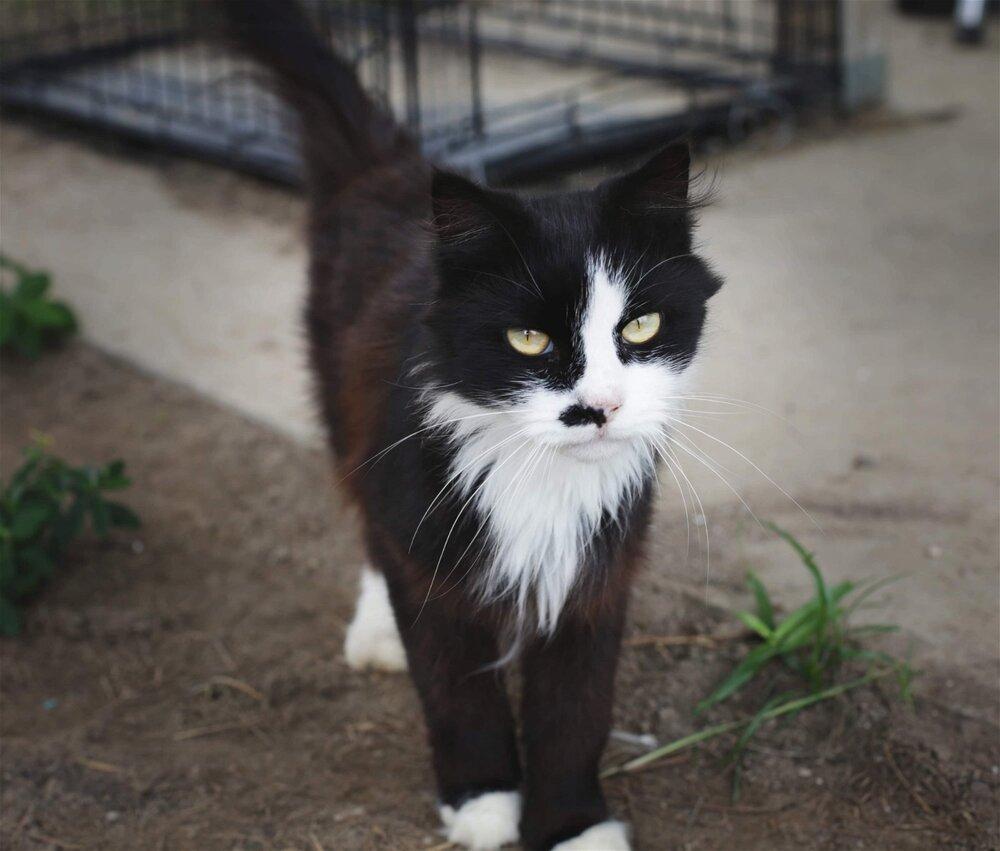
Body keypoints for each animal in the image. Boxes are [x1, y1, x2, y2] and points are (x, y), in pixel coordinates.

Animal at [230, 3, 724, 848]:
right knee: (369, 523)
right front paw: (485, 802)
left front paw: (572, 825)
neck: (535, 472)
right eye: (529, 339)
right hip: (350, 413)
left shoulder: (596, 565)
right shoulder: (429, 545)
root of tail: (398, 167)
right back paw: (376, 632)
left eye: (640, 326)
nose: (598, 406)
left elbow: (574, 709)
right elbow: (458, 691)